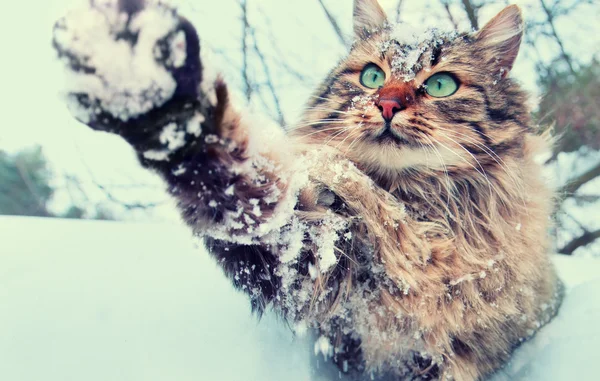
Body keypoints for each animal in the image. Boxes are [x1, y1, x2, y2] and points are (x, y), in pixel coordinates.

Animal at [51, 0, 564, 380]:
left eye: (440, 84)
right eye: (372, 76)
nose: (387, 104)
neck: (414, 209)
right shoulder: (311, 258)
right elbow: (238, 187)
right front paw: (150, 91)